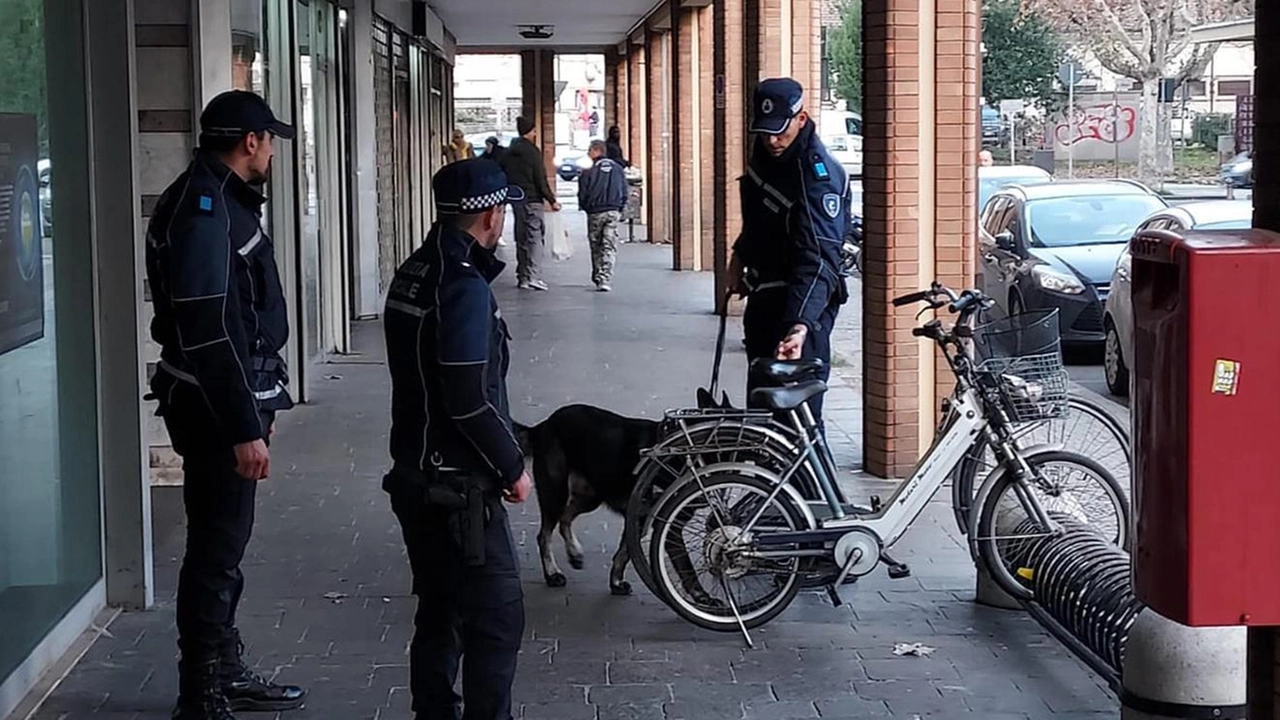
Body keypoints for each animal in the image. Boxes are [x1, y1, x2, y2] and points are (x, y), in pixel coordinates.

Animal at [514, 404, 665, 594]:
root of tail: (544, 425)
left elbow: (624, 552)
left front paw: (615, 582)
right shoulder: (641, 515)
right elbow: (625, 553)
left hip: (589, 498)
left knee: (564, 520)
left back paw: (575, 555)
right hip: (556, 493)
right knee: (544, 536)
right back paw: (552, 574)